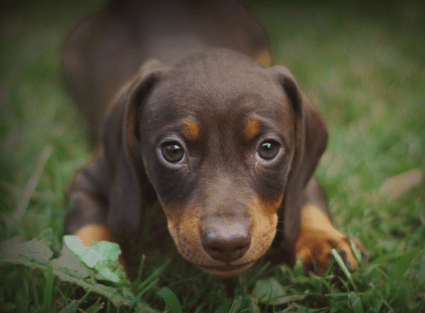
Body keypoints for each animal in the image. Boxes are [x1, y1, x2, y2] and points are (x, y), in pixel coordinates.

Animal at [64, 0, 360, 276]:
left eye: (268, 148)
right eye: (172, 151)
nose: (227, 244)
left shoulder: (295, 172)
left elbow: (308, 199)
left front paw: (324, 243)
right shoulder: (90, 180)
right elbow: (87, 230)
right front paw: (90, 267)